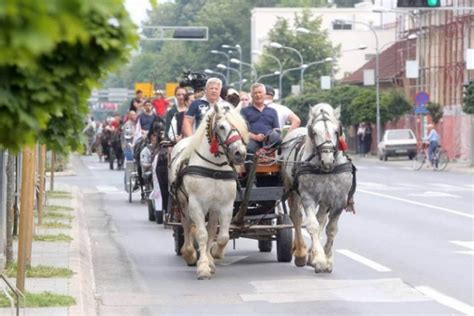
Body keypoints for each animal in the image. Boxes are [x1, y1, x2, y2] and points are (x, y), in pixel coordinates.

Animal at [169, 102, 250, 278]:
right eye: (221, 126)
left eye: (241, 126)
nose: (239, 153)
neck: (214, 167)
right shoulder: (196, 204)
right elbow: (201, 234)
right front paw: (203, 266)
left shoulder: (226, 205)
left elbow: (222, 236)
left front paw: (214, 254)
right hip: (183, 203)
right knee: (187, 225)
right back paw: (189, 253)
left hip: (213, 208)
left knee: (212, 229)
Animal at [280, 103, 354, 274]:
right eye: (314, 132)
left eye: (336, 131)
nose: (327, 160)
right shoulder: (308, 197)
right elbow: (312, 226)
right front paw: (320, 259)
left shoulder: (339, 200)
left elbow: (330, 228)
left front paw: (326, 259)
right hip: (292, 190)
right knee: (297, 217)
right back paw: (301, 253)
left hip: (325, 200)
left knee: (321, 219)